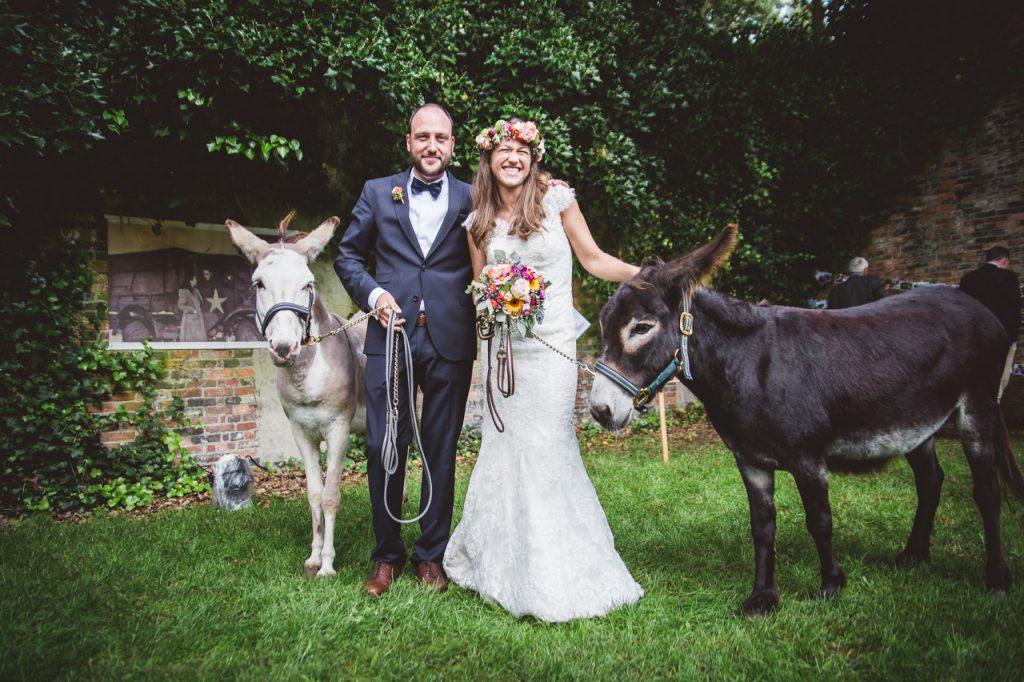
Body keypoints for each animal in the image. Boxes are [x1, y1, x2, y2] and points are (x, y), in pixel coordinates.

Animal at [226, 213, 366, 579]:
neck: (306, 377)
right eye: (258, 284)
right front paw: (314, 557)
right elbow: (314, 494)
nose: (284, 348)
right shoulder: (301, 432)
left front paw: (328, 566)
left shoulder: (338, 430)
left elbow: (331, 496)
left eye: (308, 284)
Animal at [589, 224, 1024, 614]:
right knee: (931, 481)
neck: (749, 363)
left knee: (987, 491)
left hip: (976, 409)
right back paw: (914, 555)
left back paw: (997, 579)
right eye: (603, 326)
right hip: (917, 425)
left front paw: (831, 584)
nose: (599, 410)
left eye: (641, 327)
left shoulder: (808, 459)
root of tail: (974, 305)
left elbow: (820, 520)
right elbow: (762, 527)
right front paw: (764, 597)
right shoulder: (750, 462)